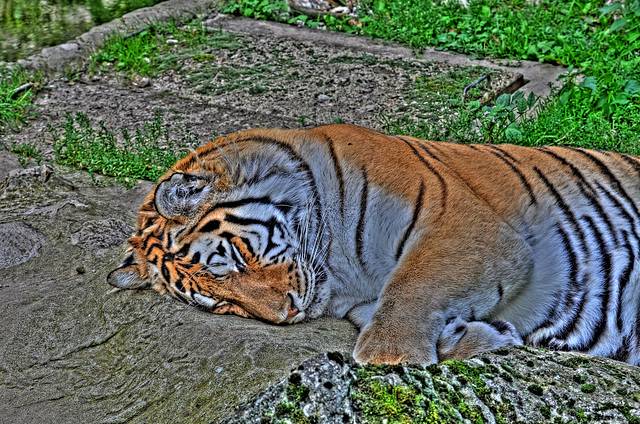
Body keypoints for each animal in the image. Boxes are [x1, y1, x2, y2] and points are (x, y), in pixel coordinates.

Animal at [107, 124, 640, 366]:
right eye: (220, 304)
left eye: (231, 261)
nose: (285, 314)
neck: (340, 272)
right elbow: (392, 308)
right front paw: (485, 336)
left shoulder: (467, 228)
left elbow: (412, 287)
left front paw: (391, 359)